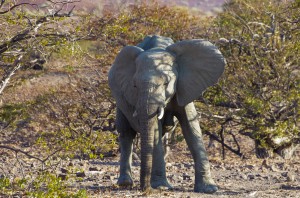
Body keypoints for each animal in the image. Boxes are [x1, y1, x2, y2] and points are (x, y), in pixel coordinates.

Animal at [108, 35, 225, 193]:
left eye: (166, 83)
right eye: (134, 85)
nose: (145, 189)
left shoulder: (184, 86)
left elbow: (192, 127)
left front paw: (209, 189)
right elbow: (154, 129)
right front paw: (162, 186)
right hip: (119, 99)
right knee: (126, 134)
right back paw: (125, 183)